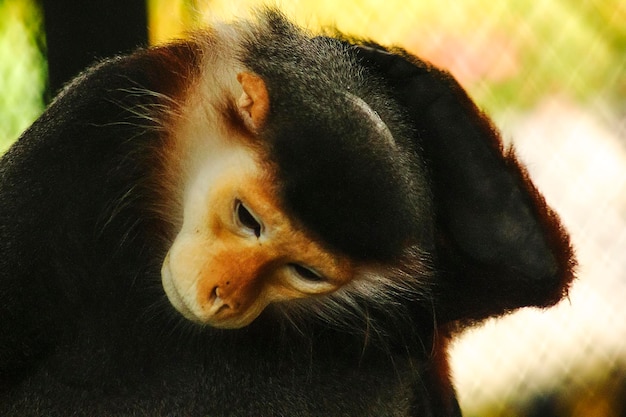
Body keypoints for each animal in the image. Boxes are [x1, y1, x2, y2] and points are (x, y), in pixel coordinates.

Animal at [0, 9, 572, 416]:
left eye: (304, 271)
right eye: (247, 219)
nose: (225, 297)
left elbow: (526, 269)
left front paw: (401, 73)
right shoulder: (90, 123)